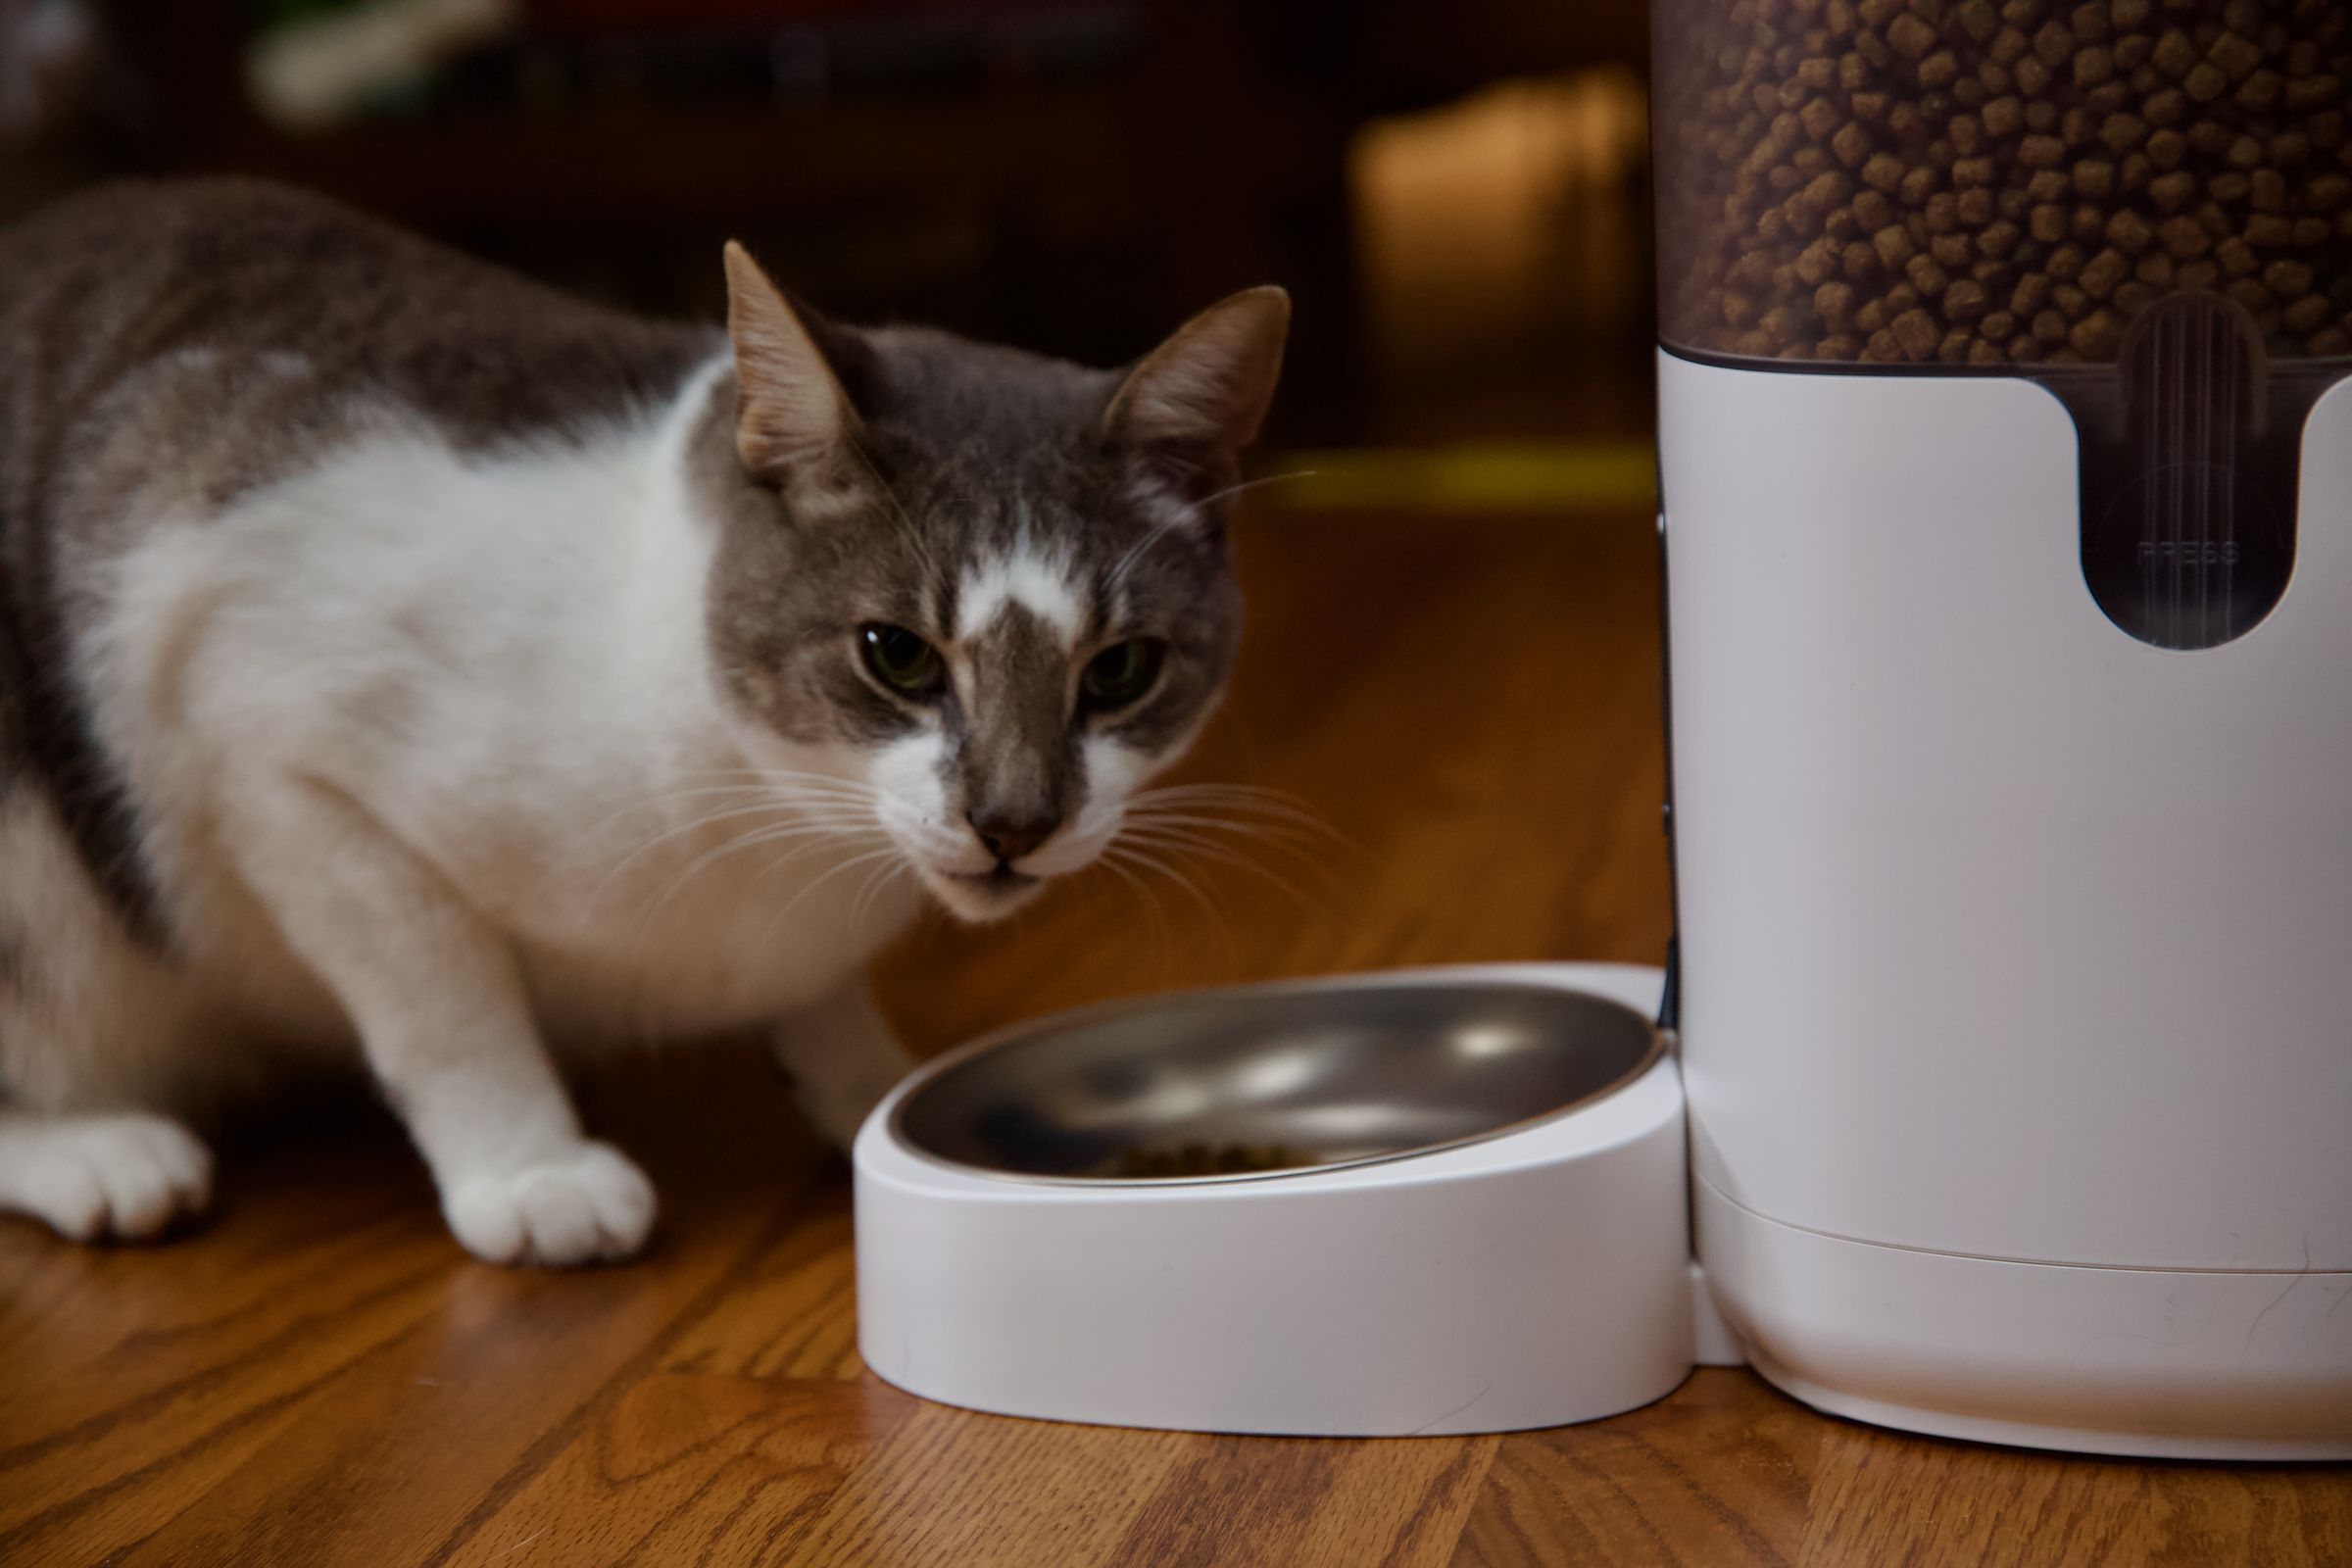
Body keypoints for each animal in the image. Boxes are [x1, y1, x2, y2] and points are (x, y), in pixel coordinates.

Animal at [0, 177, 1289, 1269]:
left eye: (1121, 669)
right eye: (897, 654)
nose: (1014, 822)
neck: (785, 828)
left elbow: (822, 1003)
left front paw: (863, 1084)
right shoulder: (264, 730)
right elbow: (442, 999)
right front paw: (530, 1169)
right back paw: (102, 1151)